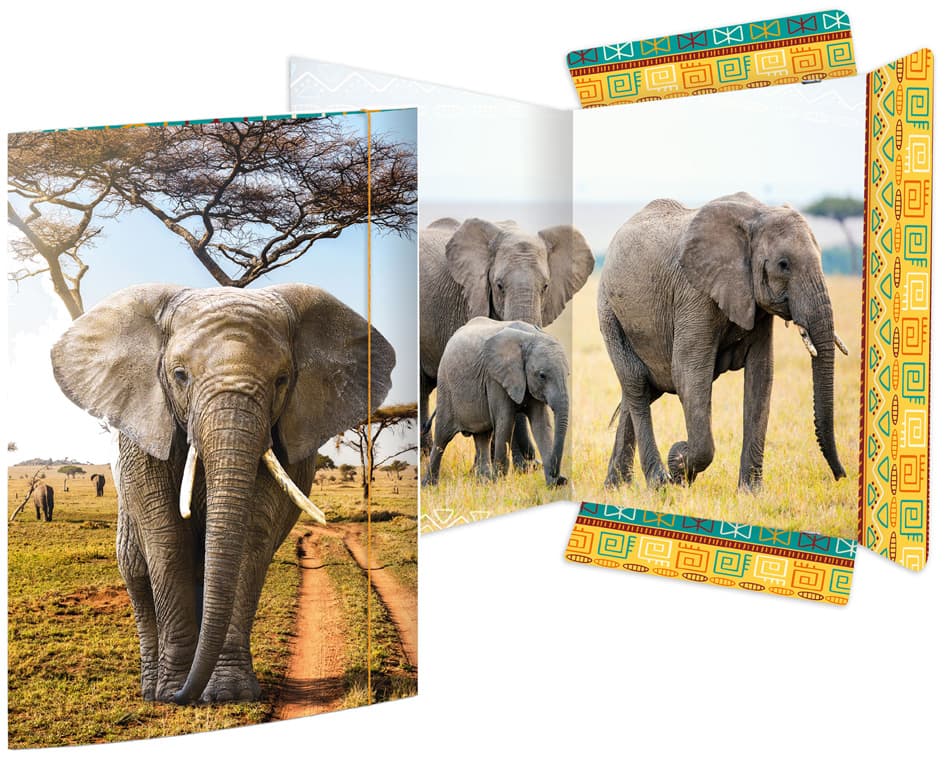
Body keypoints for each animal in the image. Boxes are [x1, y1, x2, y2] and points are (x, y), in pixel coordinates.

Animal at [51, 283, 394, 704]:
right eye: (180, 375)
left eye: (282, 380)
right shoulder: (144, 434)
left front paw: (229, 694)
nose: (183, 695)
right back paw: (152, 689)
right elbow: (167, 540)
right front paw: (172, 692)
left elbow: (250, 539)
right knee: (136, 571)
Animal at [423, 317, 570, 488]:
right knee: (442, 437)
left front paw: (553, 485)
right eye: (542, 375)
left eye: (568, 374)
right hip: (446, 387)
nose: (559, 476)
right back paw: (429, 485)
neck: (530, 337)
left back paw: (483, 482)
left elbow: (541, 424)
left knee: (482, 436)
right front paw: (499, 482)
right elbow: (505, 421)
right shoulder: (495, 379)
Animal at [598, 193, 848, 491]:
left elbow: (762, 375)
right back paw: (658, 483)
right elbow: (689, 372)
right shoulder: (694, 293)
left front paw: (751, 492)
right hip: (609, 312)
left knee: (639, 389)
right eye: (783, 265)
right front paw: (678, 465)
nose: (841, 476)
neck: (758, 214)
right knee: (636, 383)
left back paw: (618, 487)